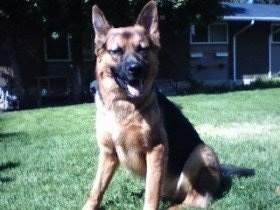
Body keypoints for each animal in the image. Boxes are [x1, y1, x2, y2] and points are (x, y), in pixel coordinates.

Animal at [82, 2, 254, 210]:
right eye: (117, 51)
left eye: (142, 49)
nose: (135, 69)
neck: (124, 104)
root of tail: (221, 172)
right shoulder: (108, 153)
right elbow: (96, 189)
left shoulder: (156, 150)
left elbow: (151, 192)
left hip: (200, 152)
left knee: (195, 200)